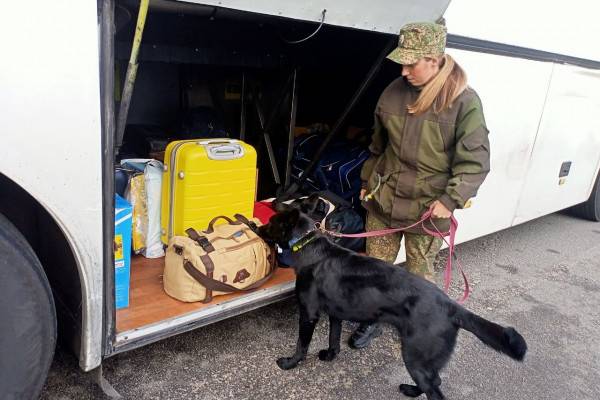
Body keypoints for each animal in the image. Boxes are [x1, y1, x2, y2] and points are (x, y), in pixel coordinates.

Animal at [258, 206, 524, 400]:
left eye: (271, 223)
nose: (257, 227)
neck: (307, 244)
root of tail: (452, 306)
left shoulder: (309, 313)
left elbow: (302, 345)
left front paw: (290, 363)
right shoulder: (336, 313)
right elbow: (334, 338)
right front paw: (330, 356)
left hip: (415, 356)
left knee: (435, 390)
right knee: (435, 380)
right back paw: (411, 390)